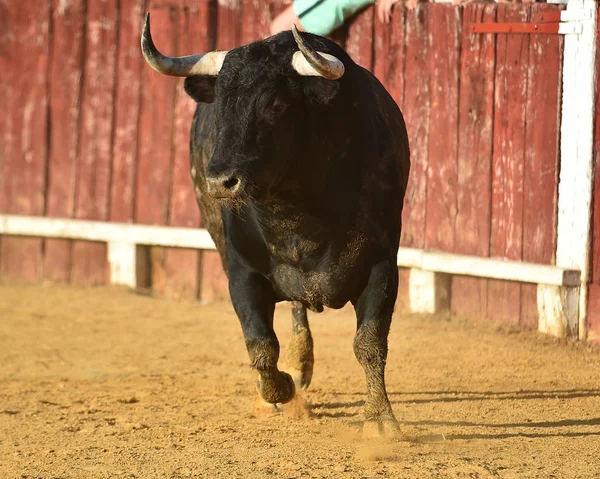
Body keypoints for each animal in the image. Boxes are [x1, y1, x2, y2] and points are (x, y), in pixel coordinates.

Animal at [143, 14, 410, 436]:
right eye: (220, 106)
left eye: (276, 104)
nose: (220, 181)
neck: (296, 212)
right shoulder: (241, 273)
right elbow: (260, 344)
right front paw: (278, 388)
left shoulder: (382, 264)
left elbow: (369, 342)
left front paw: (381, 421)